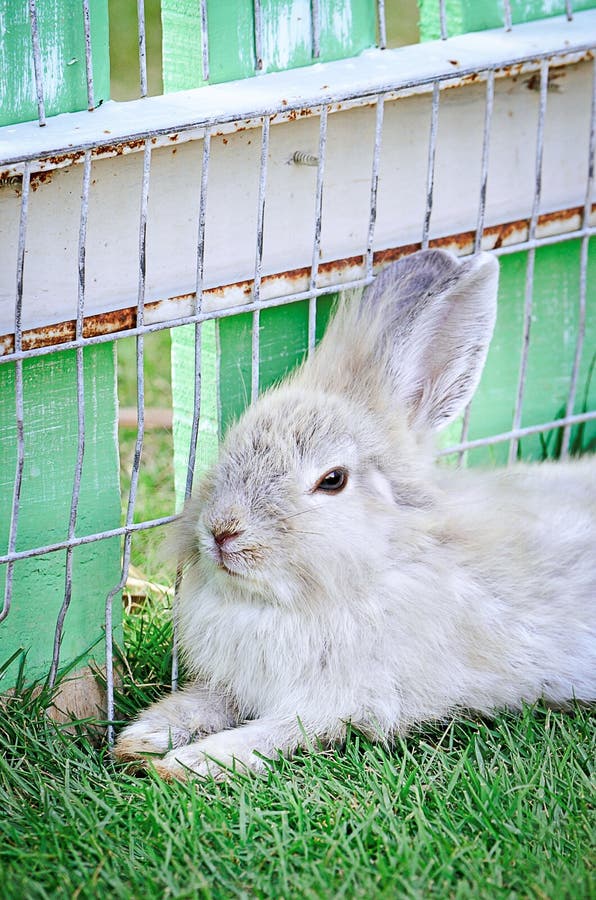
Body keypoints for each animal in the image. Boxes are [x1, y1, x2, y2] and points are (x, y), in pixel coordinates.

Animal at [114, 248, 596, 781]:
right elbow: (206, 702)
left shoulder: (342, 700)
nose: (222, 531)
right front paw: (143, 738)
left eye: (333, 480)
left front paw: (190, 763)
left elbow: (272, 731)